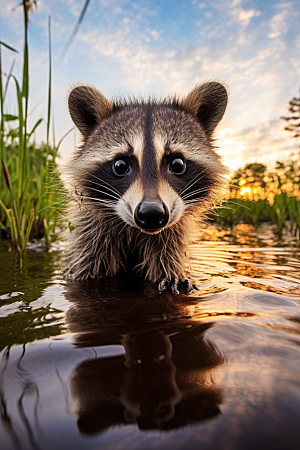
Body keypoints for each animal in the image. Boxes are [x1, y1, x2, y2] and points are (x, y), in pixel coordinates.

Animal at [64, 81, 229, 294]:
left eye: (177, 164)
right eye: (120, 165)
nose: (152, 213)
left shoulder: (171, 237)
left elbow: (166, 263)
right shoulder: (91, 233)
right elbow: (87, 263)